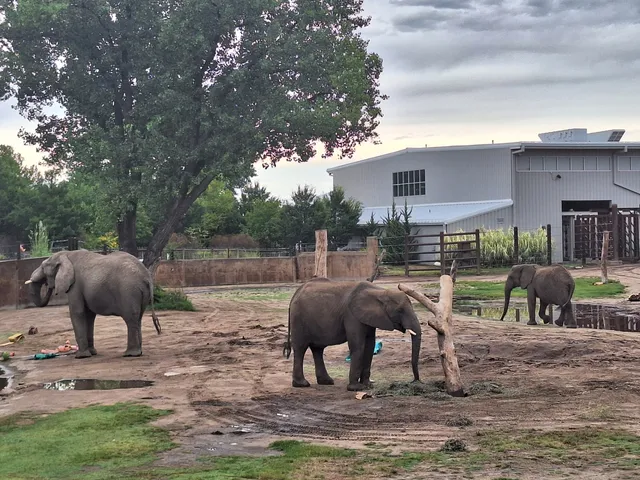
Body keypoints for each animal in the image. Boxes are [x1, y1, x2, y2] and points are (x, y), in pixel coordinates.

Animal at [25, 249, 161, 358]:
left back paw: (130, 354)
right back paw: (138, 352)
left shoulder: (75, 286)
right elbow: (89, 316)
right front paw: (92, 353)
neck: (66, 254)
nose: (49, 285)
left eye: (43, 267)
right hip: (140, 293)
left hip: (129, 291)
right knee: (138, 318)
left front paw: (81, 357)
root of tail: (147, 277)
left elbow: (77, 312)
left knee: (130, 319)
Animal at [282, 277, 421, 391]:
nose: (414, 381)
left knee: (318, 349)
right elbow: (358, 346)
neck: (380, 292)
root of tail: (295, 293)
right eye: (400, 310)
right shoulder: (351, 315)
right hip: (298, 318)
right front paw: (356, 388)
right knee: (300, 348)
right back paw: (302, 384)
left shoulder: (369, 317)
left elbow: (370, 345)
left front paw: (368, 386)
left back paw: (326, 382)